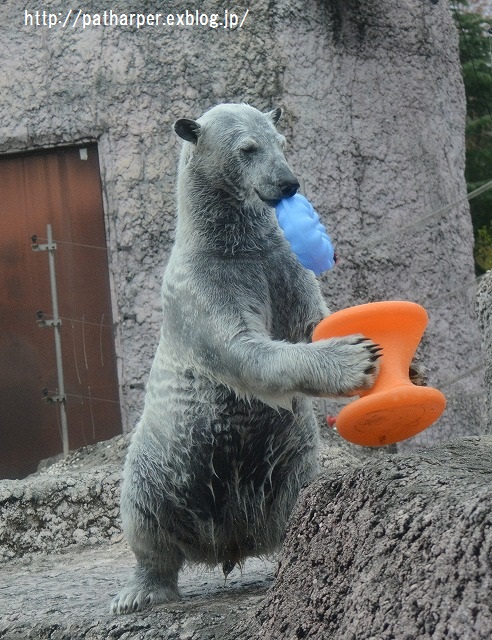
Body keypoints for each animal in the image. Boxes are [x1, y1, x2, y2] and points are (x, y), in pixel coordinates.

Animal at [111, 104, 380, 616]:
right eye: (247, 149)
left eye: (281, 141)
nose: (288, 183)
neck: (232, 242)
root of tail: (226, 541)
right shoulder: (208, 280)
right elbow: (243, 349)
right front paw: (354, 359)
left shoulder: (281, 266)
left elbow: (312, 319)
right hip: (163, 462)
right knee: (145, 515)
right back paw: (140, 591)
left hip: (288, 463)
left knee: (298, 497)